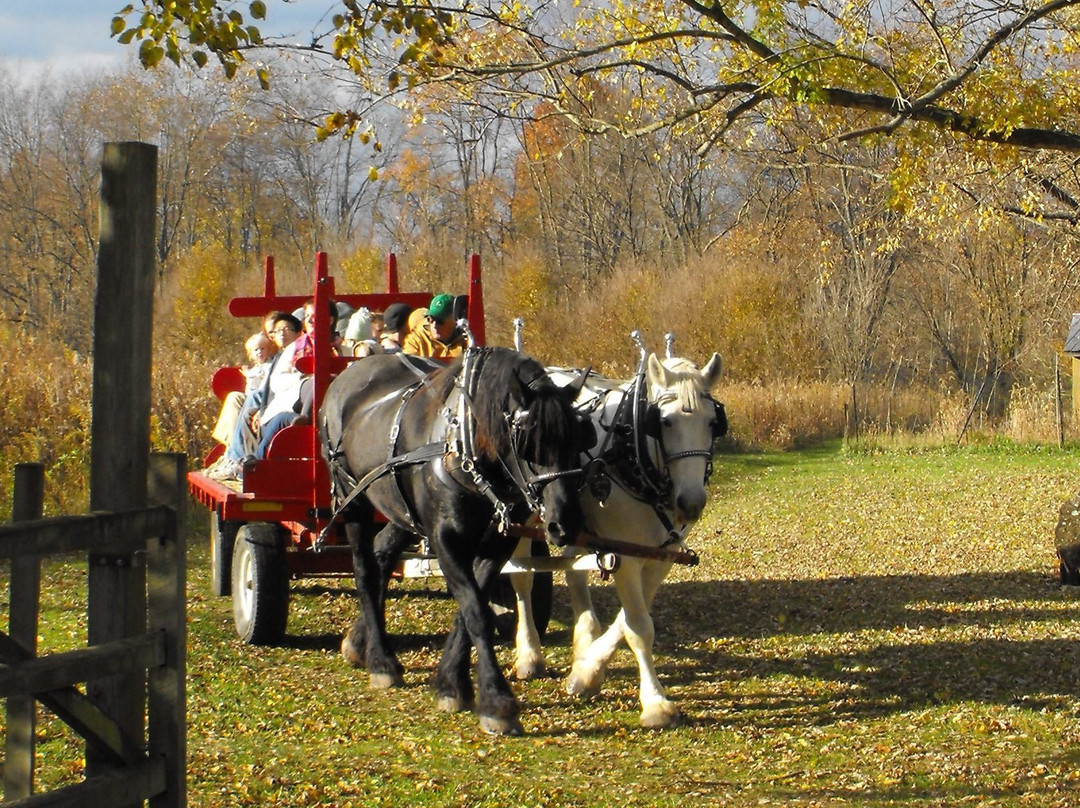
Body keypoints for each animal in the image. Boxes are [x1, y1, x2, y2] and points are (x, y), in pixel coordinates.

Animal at [319, 349, 591, 734]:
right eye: (528, 444)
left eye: (579, 439)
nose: (564, 524)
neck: (467, 445)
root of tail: (347, 374)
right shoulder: (445, 539)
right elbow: (476, 612)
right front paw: (496, 702)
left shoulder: (496, 545)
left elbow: (471, 609)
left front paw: (451, 682)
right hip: (352, 500)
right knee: (364, 569)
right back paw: (382, 660)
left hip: (402, 509)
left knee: (383, 553)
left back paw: (359, 643)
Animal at [507, 349, 725, 730]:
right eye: (663, 422)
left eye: (713, 423)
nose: (691, 503)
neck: (632, 449)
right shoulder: (625, 556)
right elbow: (639, 627)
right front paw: (655, 703)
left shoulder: (659, 556)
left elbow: (628, 620)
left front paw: (586, 673)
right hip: (527, 511)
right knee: (522, 578)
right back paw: (529, 654)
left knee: (574, 570)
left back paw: (584, 639)